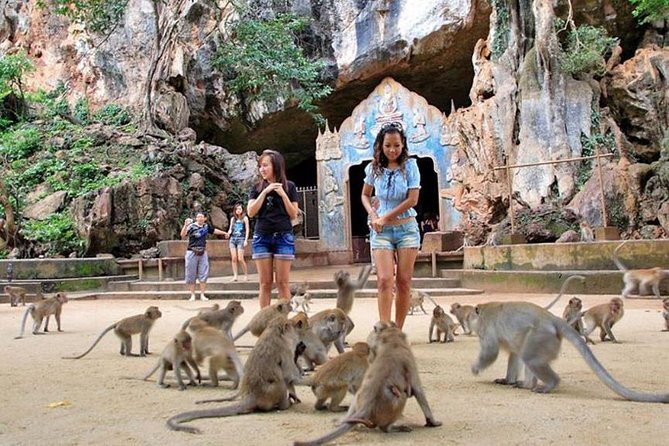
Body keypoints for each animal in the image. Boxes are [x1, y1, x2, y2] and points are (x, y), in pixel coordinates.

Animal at [166, 318, 302, 434]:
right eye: (291, 326)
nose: (297, 329)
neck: (274, 332)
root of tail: (251, 396)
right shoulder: (286, 349)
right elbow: (288, 376)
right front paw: (293, 393)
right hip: (273, 392)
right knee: (281, 382)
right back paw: (285, 405)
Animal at [294, 322, 440, 444]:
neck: (394, 344)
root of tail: (366, 408)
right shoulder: (410, 361)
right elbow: (418, 391)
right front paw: (432, 421)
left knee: (357, 395)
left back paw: (340, 419)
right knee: (401, 396)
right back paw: (389, 428)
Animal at [470, 300, 668, 400]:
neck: (483, 311)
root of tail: (554, 319)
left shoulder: (486, 327)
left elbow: (491, 351)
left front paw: (475, 368)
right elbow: (514, 354)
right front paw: (507, 380)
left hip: (542, 336)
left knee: (531, 358)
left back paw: (549, 384)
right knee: (526, 355)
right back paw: (527, 384)